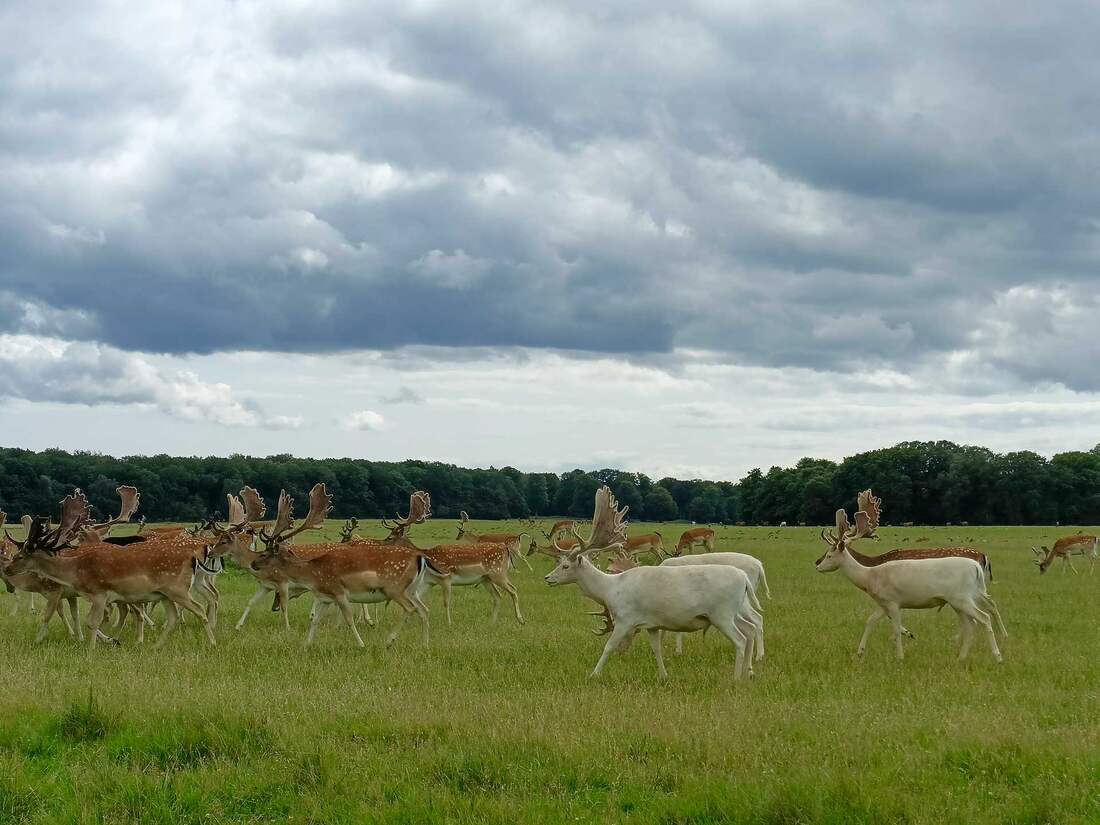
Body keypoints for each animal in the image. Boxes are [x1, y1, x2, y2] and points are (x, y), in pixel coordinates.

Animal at [247, 481, 440, 651]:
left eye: (264, 554)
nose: (253, 563)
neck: (313, 574)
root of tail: (420, 557)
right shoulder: (326, 597)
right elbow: (315, 620)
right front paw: (305, 645)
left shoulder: (338, 591)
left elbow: (349, 619)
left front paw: (361, 644)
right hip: (412, 590)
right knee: (424, 610)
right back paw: (425, 645)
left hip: (395, 588)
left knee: (411, 608)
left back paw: (389, 641)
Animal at [545, 488, 761, 682]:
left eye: (565, 565)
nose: (547, 578)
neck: (611, 591)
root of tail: (745, 579)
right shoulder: (651, 624)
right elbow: (656, 648)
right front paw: (664, 676)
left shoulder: (626, 618)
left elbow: (608, 647)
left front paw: (593, 674)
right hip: (734, 611)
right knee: (750, 629)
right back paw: (748, 673)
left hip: (722, 614)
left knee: (740, 639)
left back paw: (735, 678)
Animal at [818, 490, 1007, 664]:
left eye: (829, 555)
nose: (817, 565)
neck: (871, 578)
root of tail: (977, 567)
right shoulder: (883, 603)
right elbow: (870, 621)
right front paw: (860, 652)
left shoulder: (893, 601)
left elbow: (895, 629)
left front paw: (900, 656)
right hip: (958, 601)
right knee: (971, 624)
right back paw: (961, 657)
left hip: (962, 597)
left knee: (984, 617)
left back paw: (997, 656)